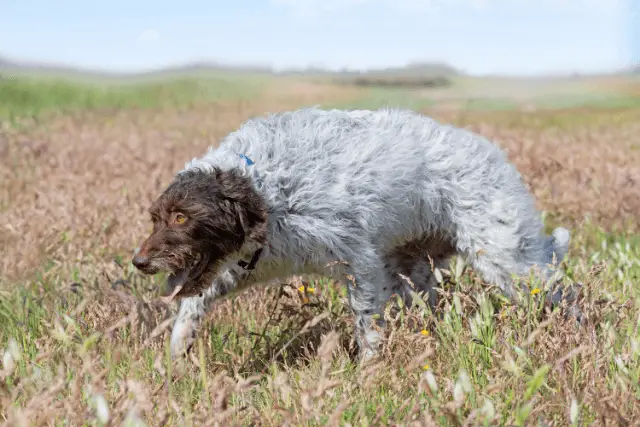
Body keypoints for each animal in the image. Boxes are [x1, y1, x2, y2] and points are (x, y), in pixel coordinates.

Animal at [132, 107, 572, 362]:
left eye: (181, 218)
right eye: (156, 218)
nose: (139, 262)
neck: (268, 188)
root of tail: (496, 155)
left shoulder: (359, 263)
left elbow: (366, 326)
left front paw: (367, 370)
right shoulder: (249, 263)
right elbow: (192, 306)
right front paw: (176, 358)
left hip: (507, 258)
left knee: (562, 293)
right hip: (413, 272)